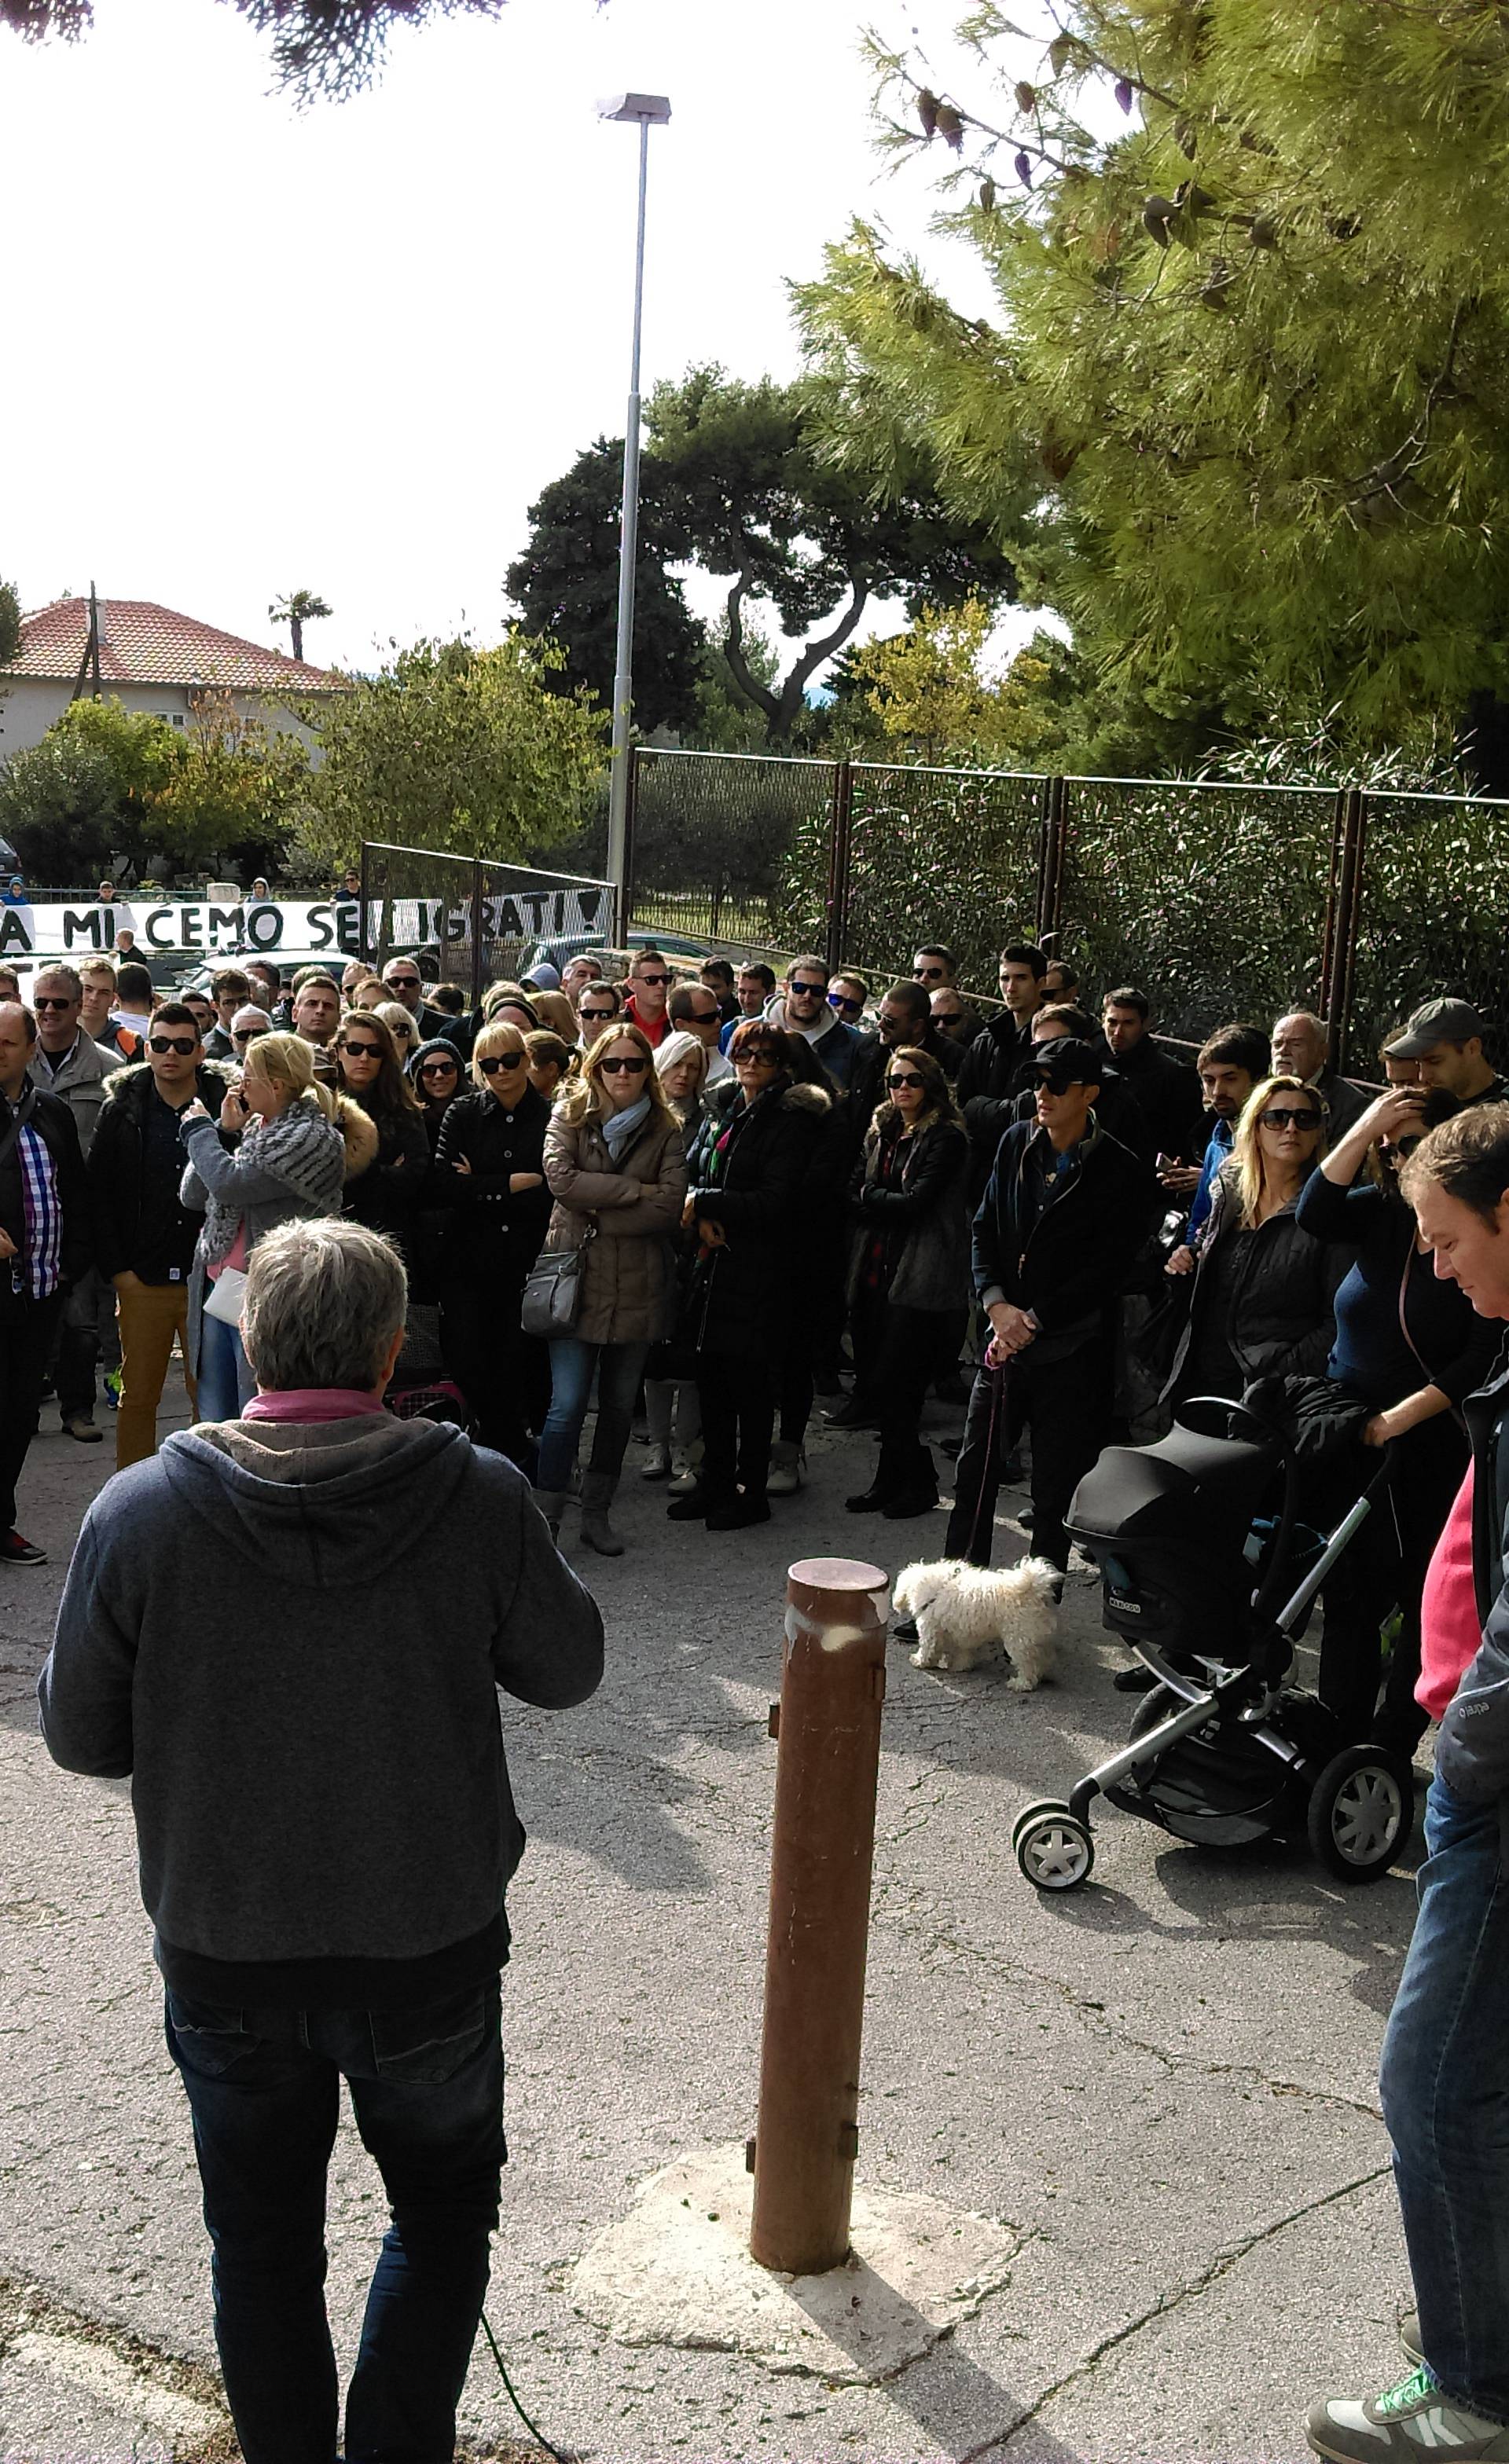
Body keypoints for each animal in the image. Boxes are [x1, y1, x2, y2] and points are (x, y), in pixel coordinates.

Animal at [897, 1556, 1060, 1695]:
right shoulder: (961, 1631)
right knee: (1043, 1658)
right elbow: (963, 1652)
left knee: (1027, 1665)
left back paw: (1021, 1684)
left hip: (1018, 1638)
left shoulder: (930, 1628)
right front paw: (960, 1665)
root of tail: (1034, 1591)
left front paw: (919, 1661)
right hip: (1037, 1636)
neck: (937, 1589)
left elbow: (928, 1648)